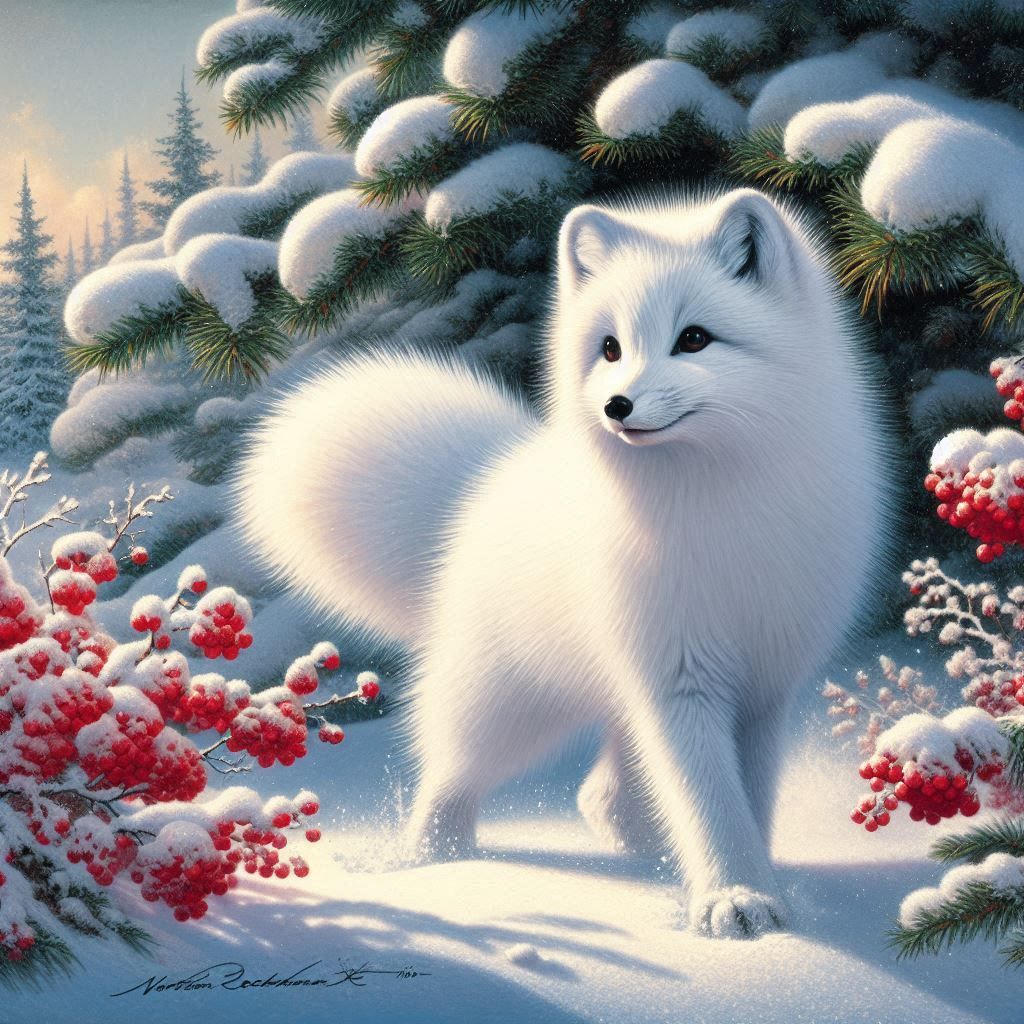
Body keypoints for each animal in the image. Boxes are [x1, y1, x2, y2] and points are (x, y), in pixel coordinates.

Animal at [238, 188, 893, 938]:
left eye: (694, 338)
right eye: (610, 348)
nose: (617, 404)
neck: (717, 507)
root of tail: (485, 485)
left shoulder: (763, 685)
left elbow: (744, 798)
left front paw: (758, 893)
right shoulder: (680, 679)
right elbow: (708, 798)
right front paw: (734, 901)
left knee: (598, 795)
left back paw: (643, 851)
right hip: (507, 704)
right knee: (450, 772)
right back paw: (434, 862)